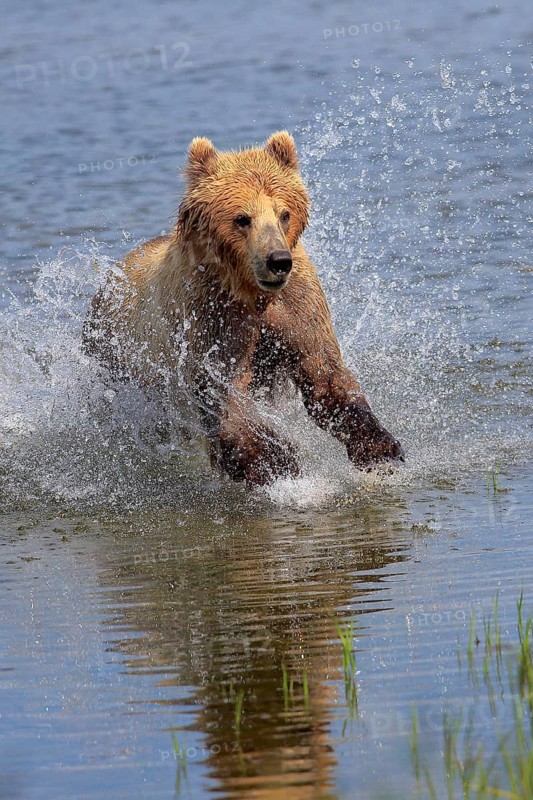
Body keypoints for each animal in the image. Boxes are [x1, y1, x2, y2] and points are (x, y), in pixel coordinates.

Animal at [83, 131, 403, 486]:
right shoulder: (212, 316)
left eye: (284, 213)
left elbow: (324, 372)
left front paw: (379, 448)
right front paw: (275, 459)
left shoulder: (298, 305)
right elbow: (226, 390)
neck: (251, 292)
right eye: (242, 218)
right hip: (120, 363)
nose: (278, 261)